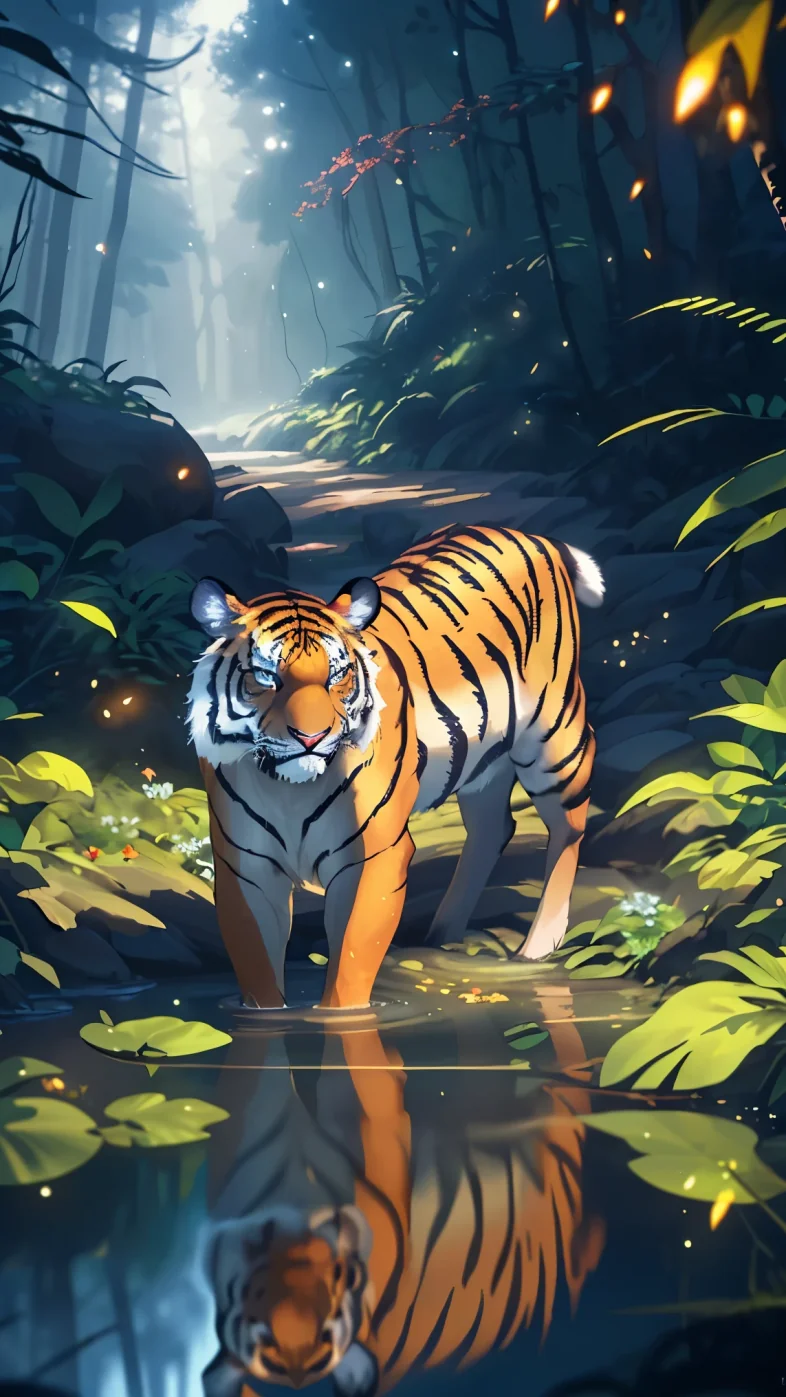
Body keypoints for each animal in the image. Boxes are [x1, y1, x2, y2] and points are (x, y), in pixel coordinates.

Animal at [187, 524, 604, 1009]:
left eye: (337, 676)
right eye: (266, 676)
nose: (311, 737)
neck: (288, 790)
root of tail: (535, 536)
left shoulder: (373, 855)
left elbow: (349, 965)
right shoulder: (246, 867)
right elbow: (259, 970)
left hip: (552, 733)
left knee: (568, 825)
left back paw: (536, 949)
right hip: (484, 764)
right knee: (493, 828)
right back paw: (440, 936)